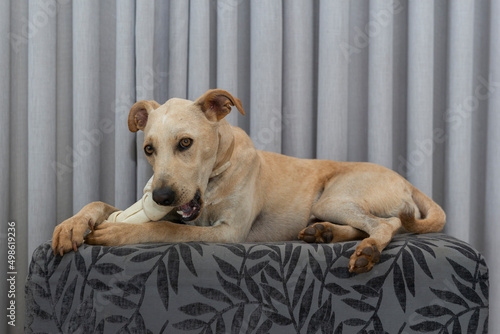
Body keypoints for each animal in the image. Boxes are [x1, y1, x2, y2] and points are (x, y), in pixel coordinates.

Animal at [52, 89, 448, 274]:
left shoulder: (228, 233)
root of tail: (408, 183)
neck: (216, 177)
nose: (161, 196)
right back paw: (323, 233)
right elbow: (100, 204)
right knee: (365, 225)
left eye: (185, 143)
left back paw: (367, 251)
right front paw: (71, 225)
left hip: (333, 199)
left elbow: (166, 229)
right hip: (329, 206)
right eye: (149, 149)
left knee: (387, 224)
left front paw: (119, 232)